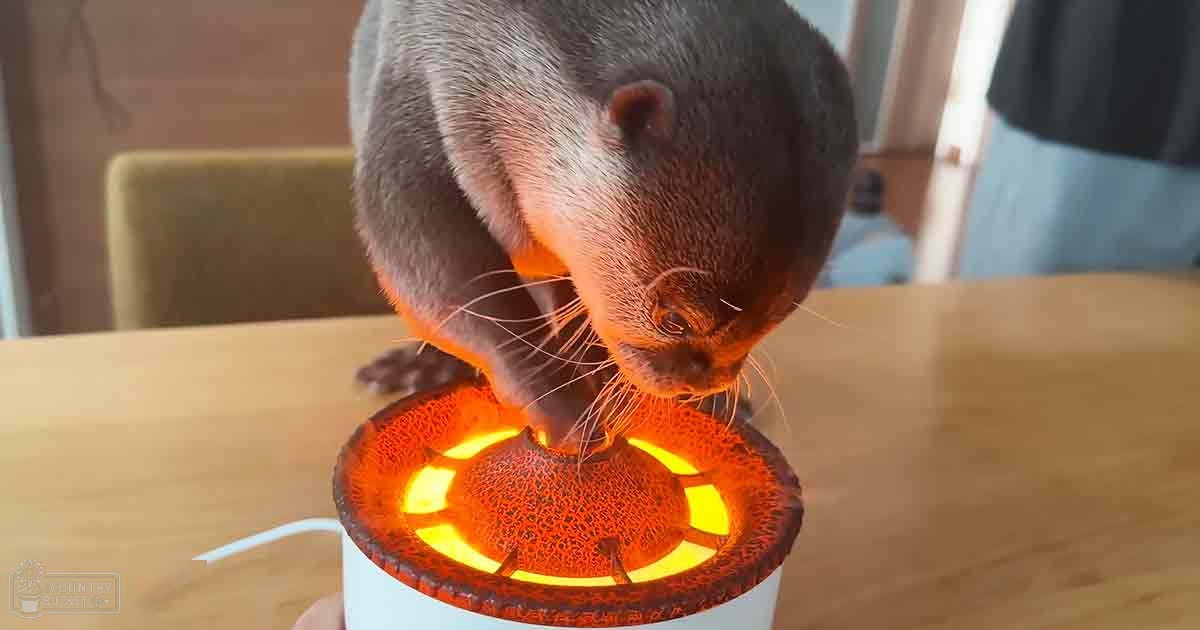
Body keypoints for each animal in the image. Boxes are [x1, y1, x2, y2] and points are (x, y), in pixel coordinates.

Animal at [349, 0, 858, 450]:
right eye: (675, 320)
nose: (702, 385)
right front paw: (567, 409)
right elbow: (437, 279)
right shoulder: (414, 83)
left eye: (775, 319)